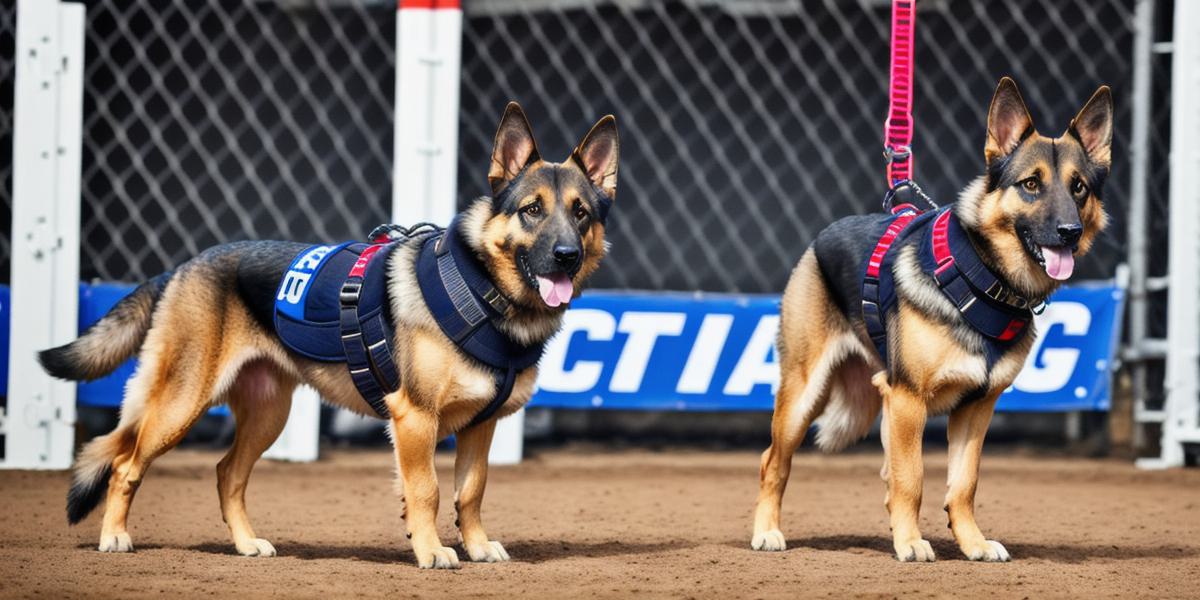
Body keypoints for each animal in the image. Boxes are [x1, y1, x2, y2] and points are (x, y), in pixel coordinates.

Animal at [37, 102, 619, 566]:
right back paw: (115, 536)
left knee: (227, 474)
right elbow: (428, 490)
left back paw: (246, 545)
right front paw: (433, 551)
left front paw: (475, 547)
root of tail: (185, 265)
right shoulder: (415, 419)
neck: (482, 292)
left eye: (581, 214)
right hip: (181, 405)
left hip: (267, 414)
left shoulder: (481, 426)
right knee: (124, 464)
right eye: (532, 210)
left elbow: (471, 492)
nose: (566, 257)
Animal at [753, 76, 1108, 561]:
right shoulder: (908, 400)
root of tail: (821, 237)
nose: (1070, 233)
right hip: (803, 395)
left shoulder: (977, 408)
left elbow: (963, 484)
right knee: (774, 461)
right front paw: (909, 542)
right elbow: (913, 479)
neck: (982, 279)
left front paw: (973, 543)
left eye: (1079, 188)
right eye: (1031, 184)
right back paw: (766, 531)